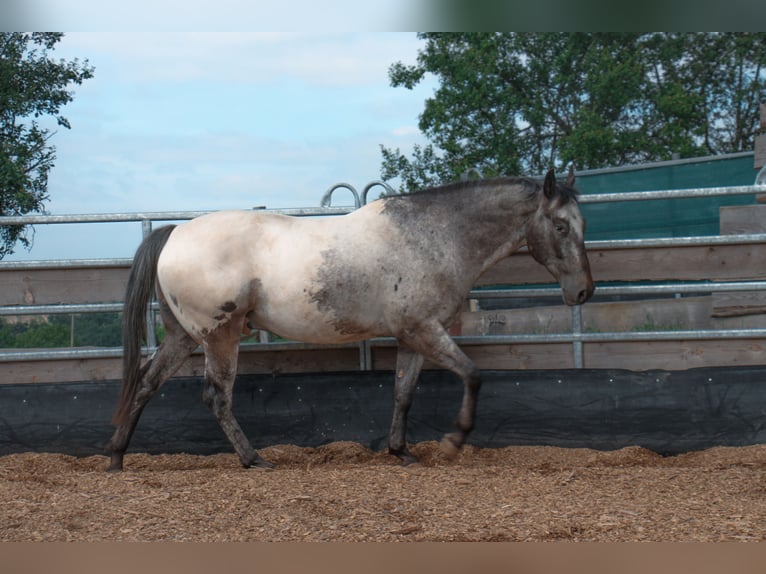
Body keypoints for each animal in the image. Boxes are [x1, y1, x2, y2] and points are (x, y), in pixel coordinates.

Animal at [106, 168, 592, 472]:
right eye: (561, 226)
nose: (583, 291)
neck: (434, 236)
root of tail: (175, 233)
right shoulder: (424, 330)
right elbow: (473, 375)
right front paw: (454, 442)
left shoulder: (411, 337)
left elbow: (403, 393)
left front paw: (400, 451)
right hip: (219, 336)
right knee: (216, 397)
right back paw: (254, 459)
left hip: (183, 337)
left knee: (147, 382)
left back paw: (116, 457)